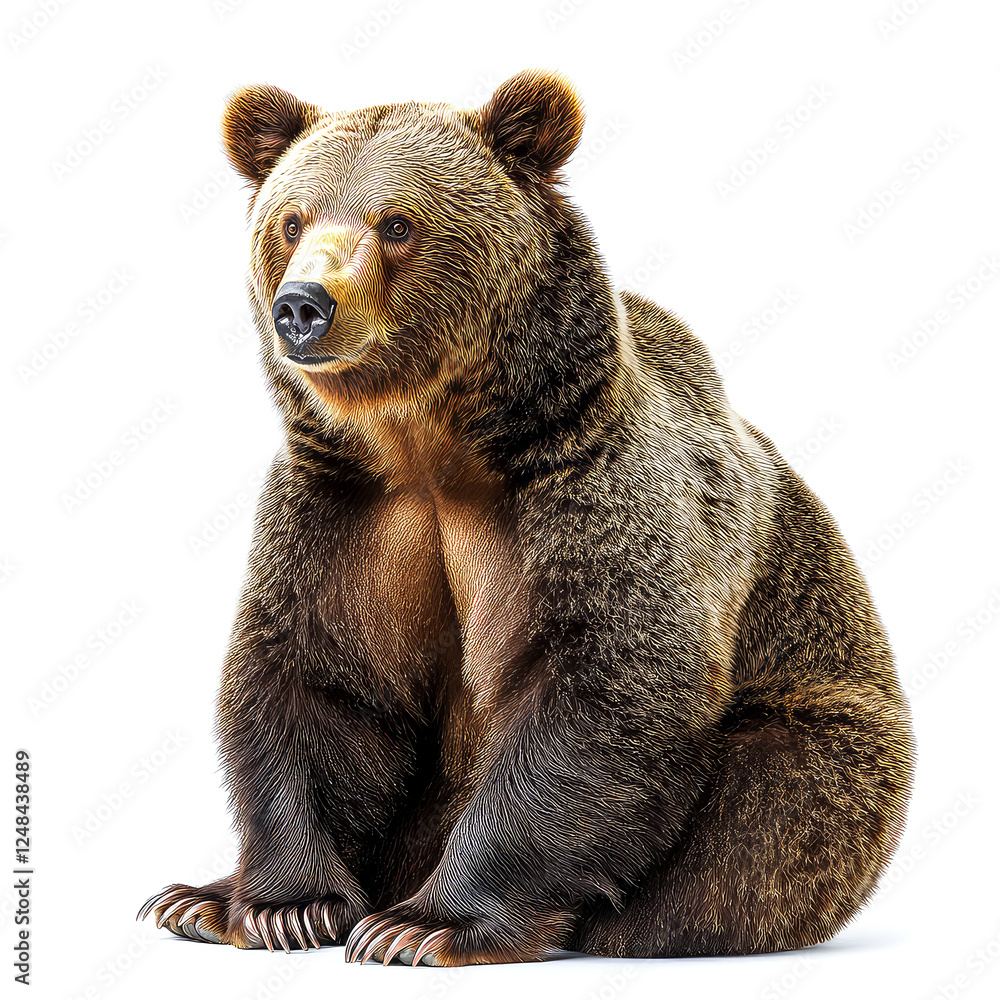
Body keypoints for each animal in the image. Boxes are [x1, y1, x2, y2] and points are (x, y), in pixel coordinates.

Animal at [138, 69, 915, 966]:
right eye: (292, 219)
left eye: (396, 222)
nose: (304, 306)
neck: (432, 447)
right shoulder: (345, 509)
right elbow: (315, 679)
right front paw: (284, 907)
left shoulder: (584, 493)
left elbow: (605, 685)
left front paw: (422, 924)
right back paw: (194, 898)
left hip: (828, 728)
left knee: (768, 799)